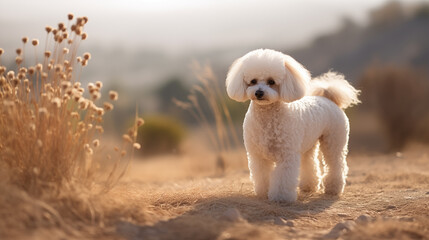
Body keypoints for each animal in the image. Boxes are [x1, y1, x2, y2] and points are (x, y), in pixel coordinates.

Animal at [226, 48, 360, 202]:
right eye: (253, 81)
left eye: (271, 81)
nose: (259, 93)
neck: (267, 116)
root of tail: (328, 99)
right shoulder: (258, 156)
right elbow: (262, 176)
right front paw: (264, 193)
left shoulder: (286, 155)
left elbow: (283, 179)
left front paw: (280, 197)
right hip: (309, 144)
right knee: (310, 163)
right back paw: (309, 186)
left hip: (333, 141)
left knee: (336, 164)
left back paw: (333, 189)